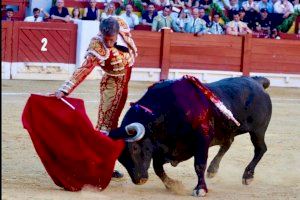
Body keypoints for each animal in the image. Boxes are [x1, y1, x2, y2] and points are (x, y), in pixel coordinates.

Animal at [110, 76, 272, 196]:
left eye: (135, 148)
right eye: (119, 157)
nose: (139, 180)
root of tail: (257, 82)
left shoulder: (201, 141)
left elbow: (199, 165)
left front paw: (200, 189)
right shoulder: (167, 149)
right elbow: (157, 168)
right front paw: (173, 185)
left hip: (257, 130)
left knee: (260, 149)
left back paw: (247, 176)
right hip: (227, 131)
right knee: (228, 143)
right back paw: (213, 170)